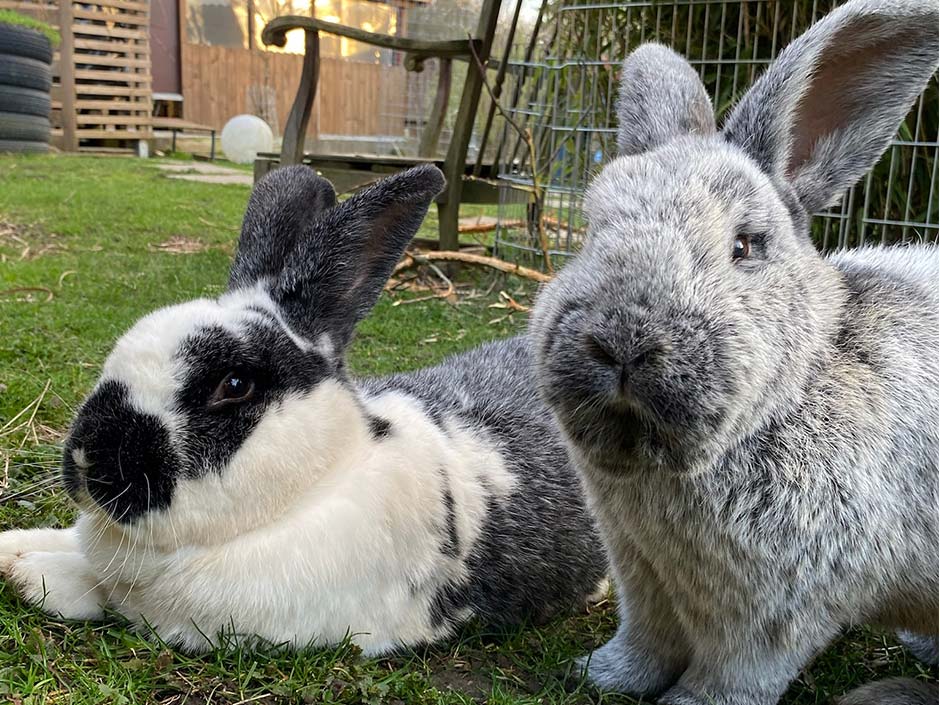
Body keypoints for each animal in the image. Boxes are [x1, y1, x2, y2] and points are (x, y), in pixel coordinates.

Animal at [532, 0, 936, 700]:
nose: (622, 342)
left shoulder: (779, 609)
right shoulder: (641, 575)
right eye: (590, 230)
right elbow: (645, 639)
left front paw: (689, 702)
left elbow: (735, 670)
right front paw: (601, 677)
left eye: (747, 245)